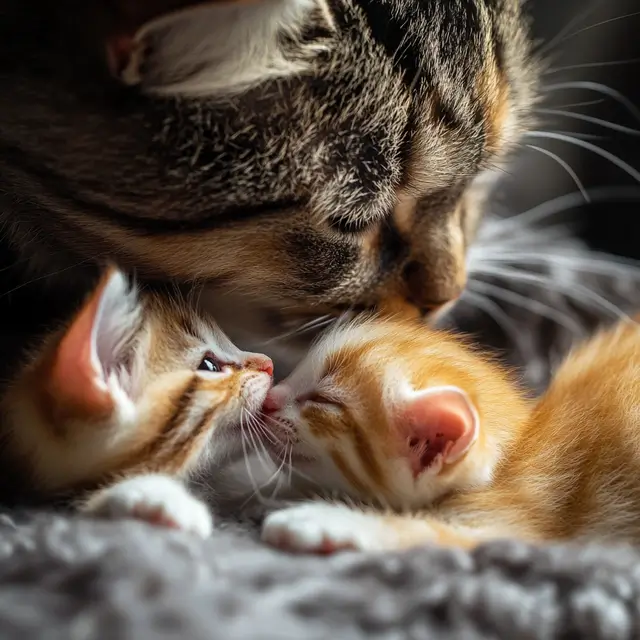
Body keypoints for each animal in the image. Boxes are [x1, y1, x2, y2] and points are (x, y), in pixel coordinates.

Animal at [258, 316, 640, 556]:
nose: (269, 399)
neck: (519, 445)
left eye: (323, 400)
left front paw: (327, 519)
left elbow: (430, 531)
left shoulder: (523, 517)